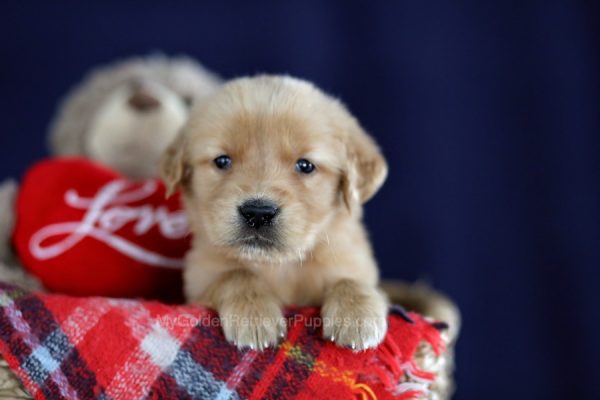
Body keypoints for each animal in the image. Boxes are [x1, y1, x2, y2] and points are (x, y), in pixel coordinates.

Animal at [161, 74, 390, 350]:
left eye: (305, 165)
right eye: (222, 161)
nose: (258, 213)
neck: (279, 267)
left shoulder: (353, 261)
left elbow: (350, 279)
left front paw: (357, 315)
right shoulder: (198, 281)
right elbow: (236, 274)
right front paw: (254, 316)